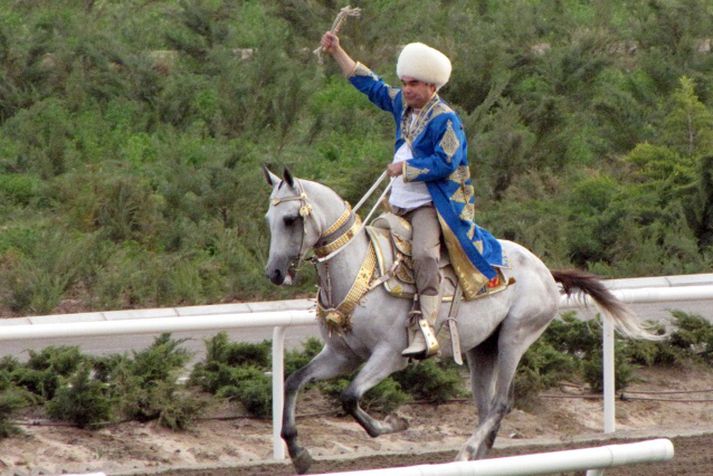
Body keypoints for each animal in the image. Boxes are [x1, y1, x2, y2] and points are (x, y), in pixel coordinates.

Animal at [262, 166, 656, 472]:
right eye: (269, 220)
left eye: (290, 219)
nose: (274, 273)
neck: (362, 269)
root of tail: (545, 270)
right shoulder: (343, 355)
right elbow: (294, 381)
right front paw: (298, 453)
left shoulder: (389, 356)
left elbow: (350, 396)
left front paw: (396, 422)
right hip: (483, 350)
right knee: (485, 408)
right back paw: (478, 458)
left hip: (515, 337)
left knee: (501, 403)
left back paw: (464, 454)